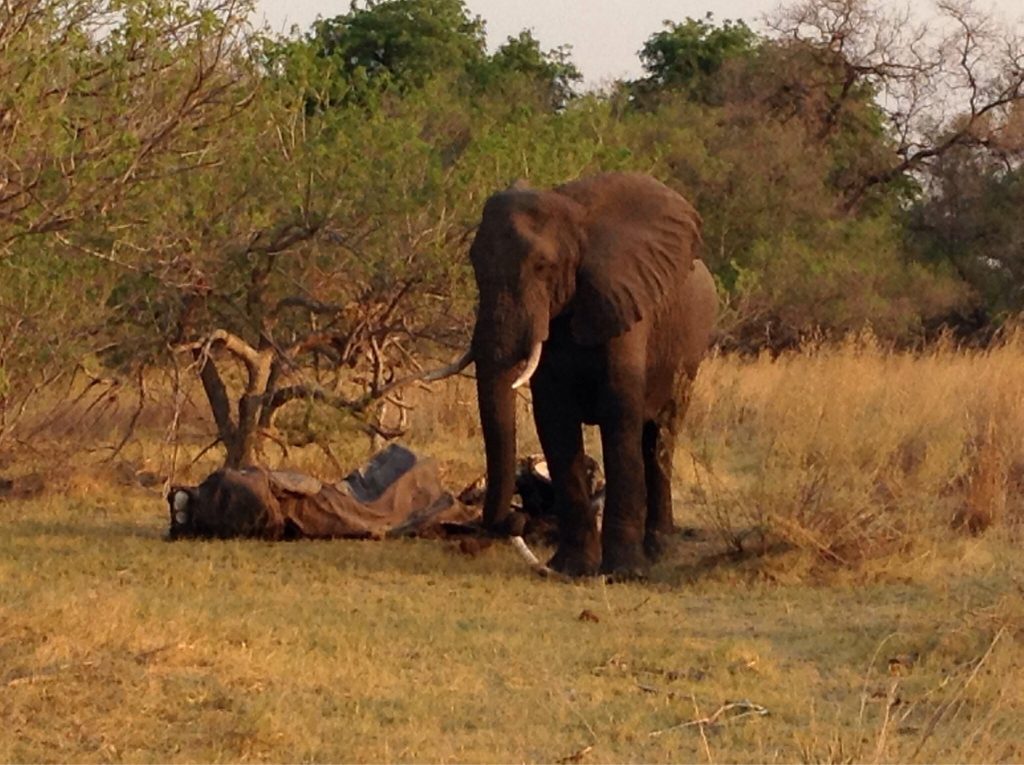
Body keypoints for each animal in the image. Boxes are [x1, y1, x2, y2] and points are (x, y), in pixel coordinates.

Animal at [443, 172, 717, 577]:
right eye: (474, 263)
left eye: (542, 267)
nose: (514, 521)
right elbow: (554, 419)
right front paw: (571, 569)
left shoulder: (624, 302)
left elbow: (619, 414)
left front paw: (622, 572)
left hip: (690, 350)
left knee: (660, 437)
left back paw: (657, 551)